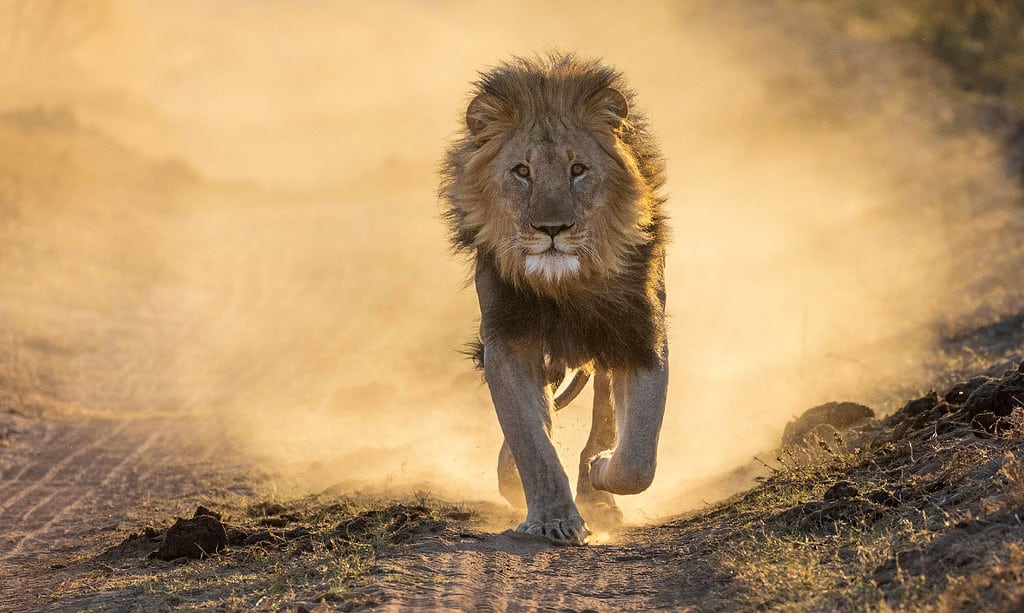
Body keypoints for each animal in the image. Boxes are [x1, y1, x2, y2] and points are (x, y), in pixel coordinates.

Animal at [441, 53, 669, 545]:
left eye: (577, 170)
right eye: (522, 172)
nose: (552, 229)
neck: (566, 285)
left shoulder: (640, 335)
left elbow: (638, 454)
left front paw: (601, 474)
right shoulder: (508, 342)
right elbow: (531, 439)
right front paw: (552, 518)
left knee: (604, 414)